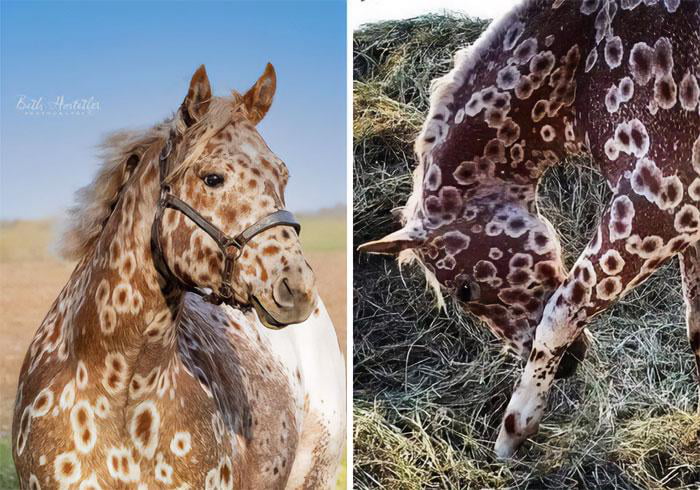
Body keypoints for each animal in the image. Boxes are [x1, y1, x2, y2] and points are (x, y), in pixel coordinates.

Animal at [360, 0, 700, 460]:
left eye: (465, 290)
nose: (570, 365)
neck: (586, 57)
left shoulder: (660, 205)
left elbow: (560, 312)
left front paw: (514, 430)